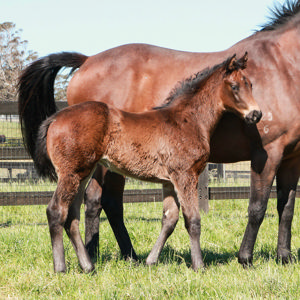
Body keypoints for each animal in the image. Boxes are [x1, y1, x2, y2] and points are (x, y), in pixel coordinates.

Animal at [34, 54, 262, 272]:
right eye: (234, 86)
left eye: (250, 84)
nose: (256, 114)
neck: (188, 120)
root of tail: (55, 118)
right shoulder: (185, 175)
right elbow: (192, 219)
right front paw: (199, 266)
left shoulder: (169, 181)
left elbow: (169, 219)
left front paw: (150, 261)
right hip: (71, 173)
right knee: (56, 211)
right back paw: (61, 268)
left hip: (83, 173)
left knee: (71, 215)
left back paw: (88, 267)